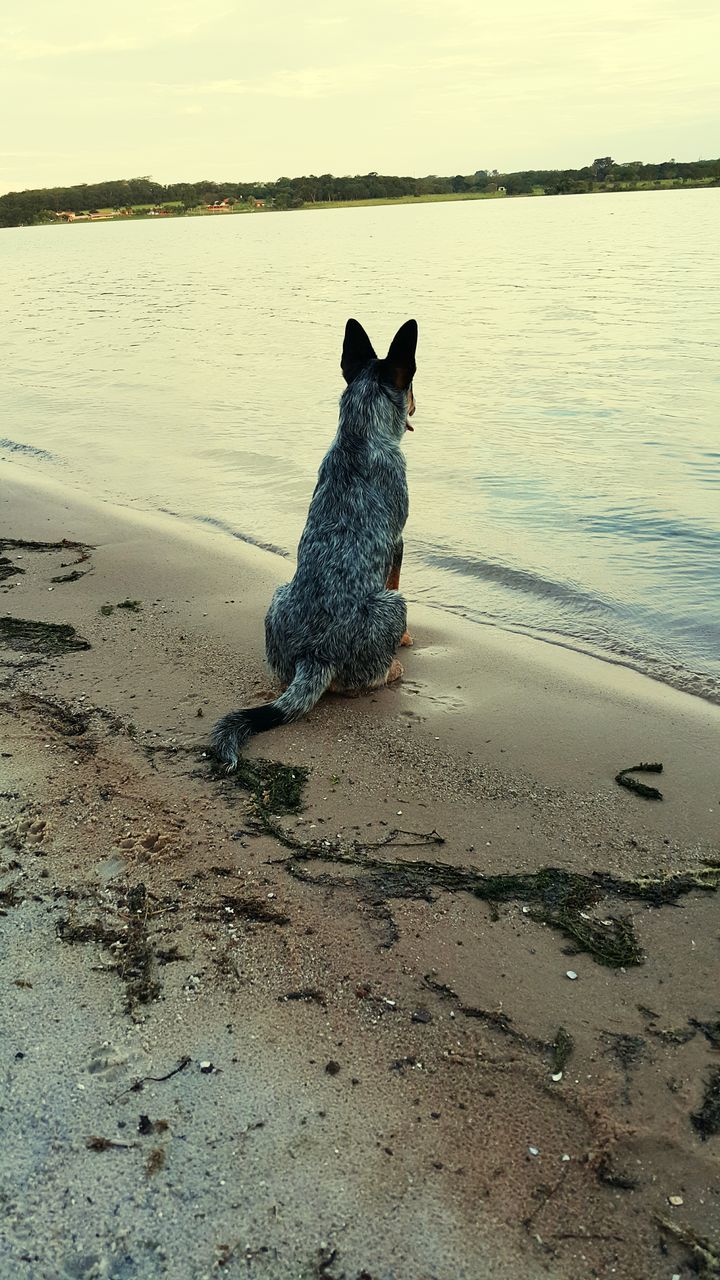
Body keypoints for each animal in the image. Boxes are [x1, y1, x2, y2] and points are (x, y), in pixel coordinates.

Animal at [208, 317, 415, 768]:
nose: (416, 407)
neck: (359, 436)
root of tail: (315, 656)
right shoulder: (398, 542)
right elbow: (395, 574)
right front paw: (408, 642)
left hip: (277, 595)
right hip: (393, 606)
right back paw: (393, 667)